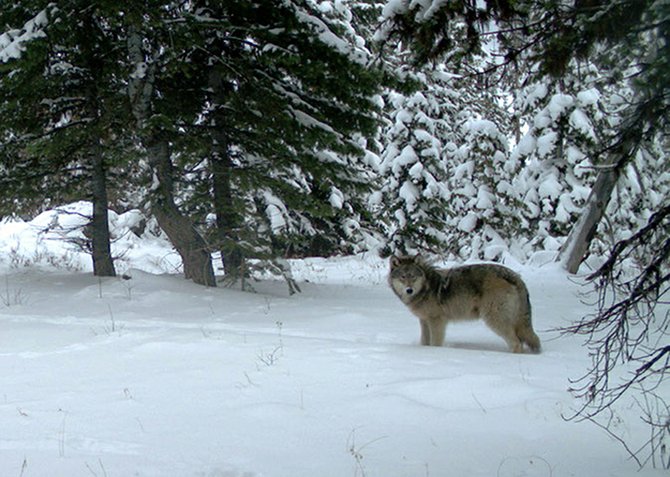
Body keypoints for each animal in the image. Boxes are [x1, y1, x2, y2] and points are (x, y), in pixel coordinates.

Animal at [392, 255, 544, 352]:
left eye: (413, 277)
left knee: (516, 343)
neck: (426, 287)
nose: (409, 290)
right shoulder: (424, 321)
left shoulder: (437, 321)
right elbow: (425, 342)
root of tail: (515, 276)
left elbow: (435, 343)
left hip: (494, 320)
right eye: (403, 277)